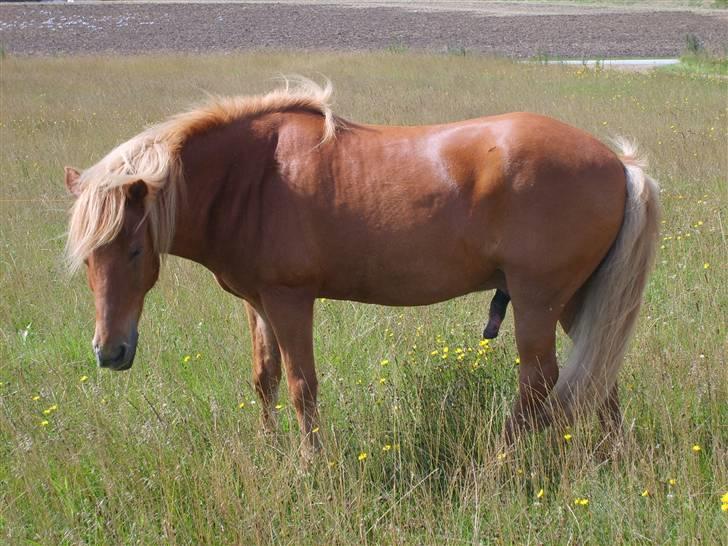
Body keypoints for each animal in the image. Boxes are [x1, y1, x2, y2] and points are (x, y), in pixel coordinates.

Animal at [67, 78, 660, 452]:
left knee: (539, 383)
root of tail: (620, 164)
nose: (110, 352)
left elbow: (302, 386)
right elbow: (265, 379)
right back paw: (612, 459)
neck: (252, 175)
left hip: (538, 301)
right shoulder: (258, 303)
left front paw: (311, 466)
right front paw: (270, 450)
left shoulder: (289, 300)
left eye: (134, 249)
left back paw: (496, 464)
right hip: (577, 300)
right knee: (599, 369)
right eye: (88, 258)